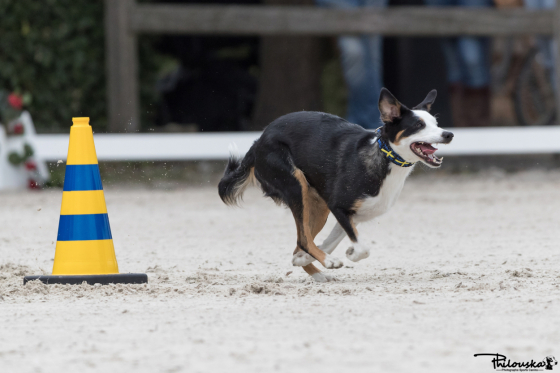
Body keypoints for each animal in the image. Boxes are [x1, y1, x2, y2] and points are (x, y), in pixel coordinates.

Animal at [219, 88, 456, 280]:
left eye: (436, 123)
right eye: (418, 125)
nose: (449, 134)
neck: (383, 157)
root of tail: (258, 141)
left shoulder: (352, 215)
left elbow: (333, 242)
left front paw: (304, 259)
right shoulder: (338, 206)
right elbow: (362, 248)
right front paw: (344, 255)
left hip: (317, 205)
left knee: (299, 241)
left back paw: (316, 272)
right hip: (296, 187)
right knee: (302, 239)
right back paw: (326, 263)